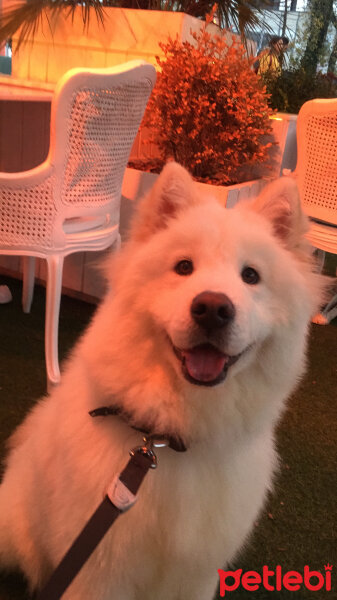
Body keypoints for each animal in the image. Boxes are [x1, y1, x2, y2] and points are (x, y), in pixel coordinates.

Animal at [0, 162, 324, 596]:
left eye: (251, 276)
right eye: (184, 267)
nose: (212, 308)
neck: (168, 439)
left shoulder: (194, 576)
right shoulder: (99, 576)